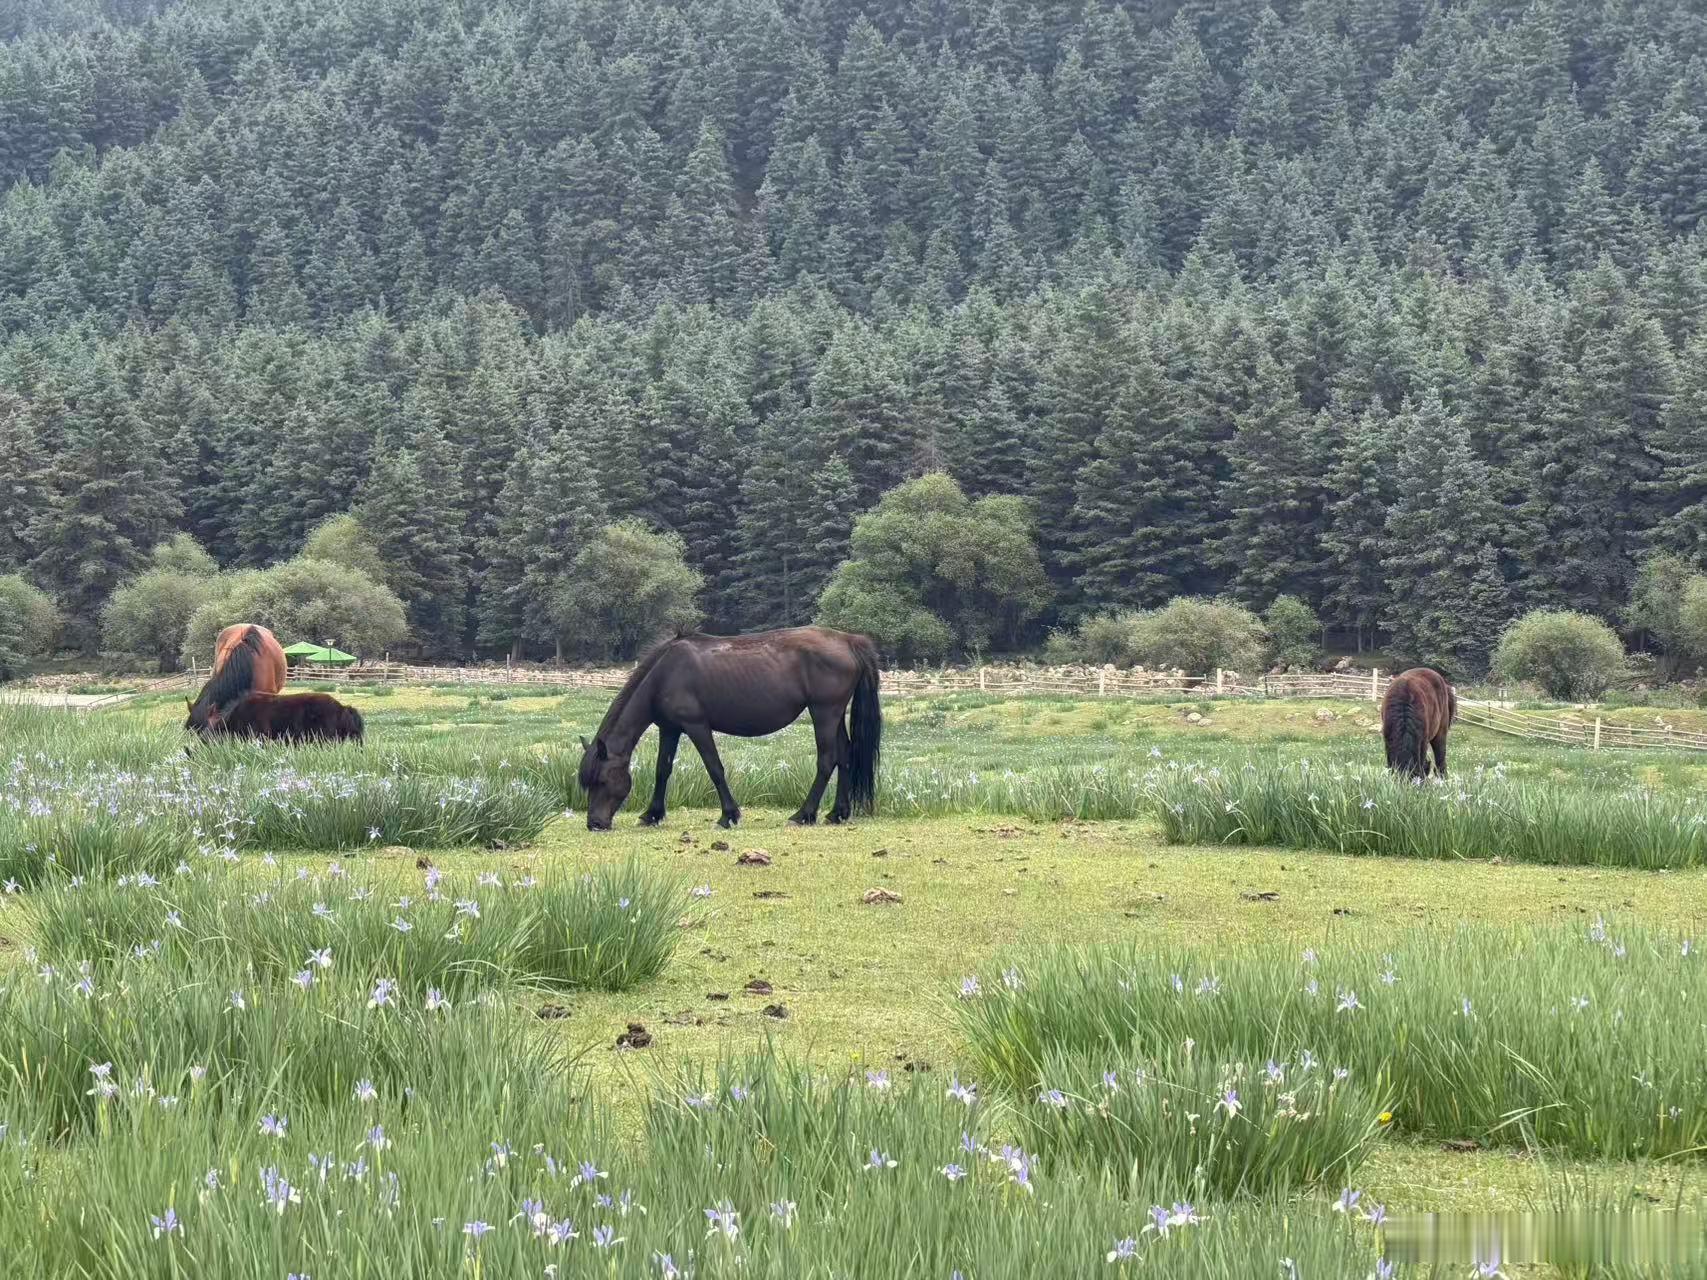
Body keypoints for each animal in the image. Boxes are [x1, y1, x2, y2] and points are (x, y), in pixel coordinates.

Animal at [577, 627, 882, 831]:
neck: (665, 674)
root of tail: (849, 640)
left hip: (824, 713)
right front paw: (652, 815)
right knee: (845, 756)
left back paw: (803, 815)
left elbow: (715, 768)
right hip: (834, 715)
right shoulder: (670, 729)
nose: (595, 823)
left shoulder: (696, 726)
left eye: (601, 780)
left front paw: (728, 815)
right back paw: (837, 813)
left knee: (827, 760)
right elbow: (662, 770)